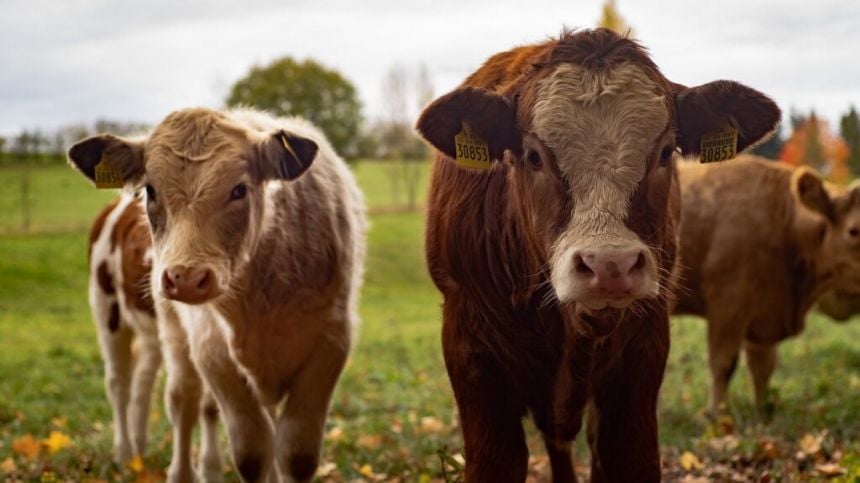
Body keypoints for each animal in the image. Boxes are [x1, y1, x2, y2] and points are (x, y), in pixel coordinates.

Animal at [71, 109, 366, 483]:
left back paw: (146, 453)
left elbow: (296, 453)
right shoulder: (212, 350)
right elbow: (251, 451)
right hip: (112, 312)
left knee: (146, 383)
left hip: (155, 333)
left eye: (239, 189)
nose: (185, 278)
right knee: (143, 389)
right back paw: (133, 455)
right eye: (151, 190)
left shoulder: (331, 342)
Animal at [414, 28, 780, 482]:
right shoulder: (471, 351)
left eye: (665, 153)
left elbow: (626, 457)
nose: (610, 265)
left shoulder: (642, 353)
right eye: (534, 156)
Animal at [676, 157, 860, 418]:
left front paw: (762, 411)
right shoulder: (728, 303)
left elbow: (763, 367)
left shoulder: (764, 314)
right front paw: (716, 415)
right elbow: (723, 363)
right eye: (854, 231)